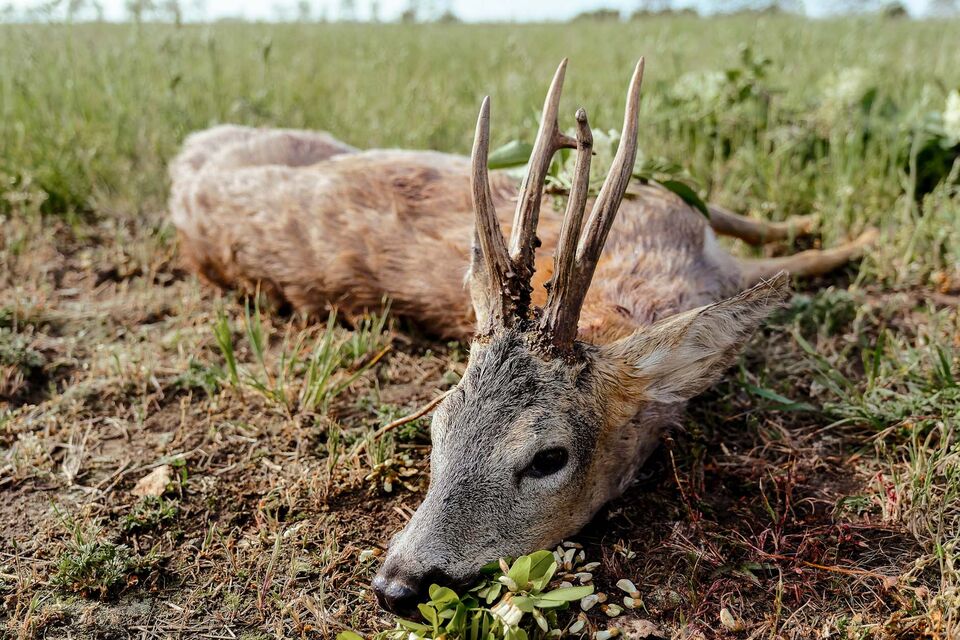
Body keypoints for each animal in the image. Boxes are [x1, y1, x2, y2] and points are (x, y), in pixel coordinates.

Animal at [169, 61, 872, 616]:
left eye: (548, 458)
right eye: (437, 431)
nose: (396, 586)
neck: (658, 274)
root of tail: (186, 160)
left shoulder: (672, 206)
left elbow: (758, 226)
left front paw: (837, 230)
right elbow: (790, 255)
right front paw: (858, 239)